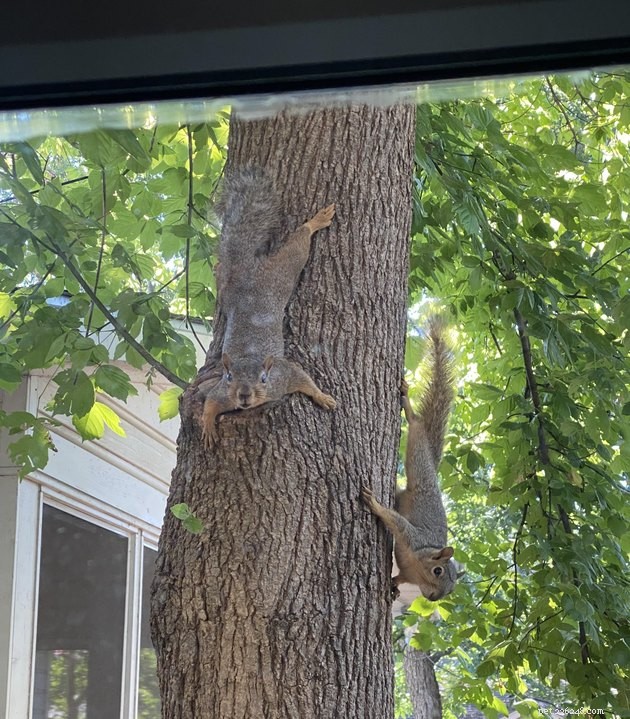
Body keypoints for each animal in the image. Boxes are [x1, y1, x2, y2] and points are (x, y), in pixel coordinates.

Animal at [198, 167, 337, 447]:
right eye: (229, 376)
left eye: (263, 378)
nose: (243, 395)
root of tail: (247, 273)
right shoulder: (222, 392)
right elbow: (209, 402)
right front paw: (207, 425)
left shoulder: (283, 376)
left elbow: (305, 380)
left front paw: (323, 397)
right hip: (238, 289)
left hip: (280, 274)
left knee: (296, 247)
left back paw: (314, 222)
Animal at [362, 316, 459, 601]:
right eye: (438, 571)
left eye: (451, 589)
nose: (433, 598)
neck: (417, 567)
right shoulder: (412, 538)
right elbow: (396, 521)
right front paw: (375, 504)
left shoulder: (408, 573)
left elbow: (399, 578)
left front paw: (393, 586)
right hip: (419, 461)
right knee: (415, 425)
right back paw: (408, 405)